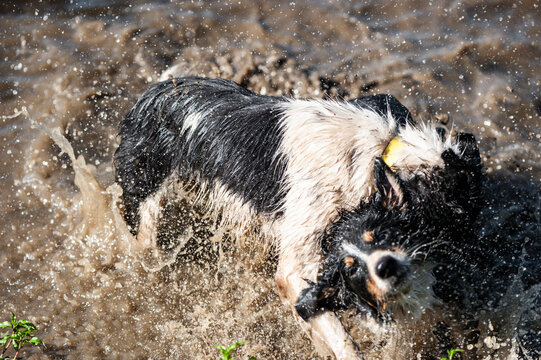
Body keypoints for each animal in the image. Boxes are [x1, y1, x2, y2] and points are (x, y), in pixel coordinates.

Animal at [114, 76, 480, 360]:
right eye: (459, 213)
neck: (381, 153)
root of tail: (150, 94)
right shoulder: (303, 248)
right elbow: (335, 329)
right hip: (145, 204)